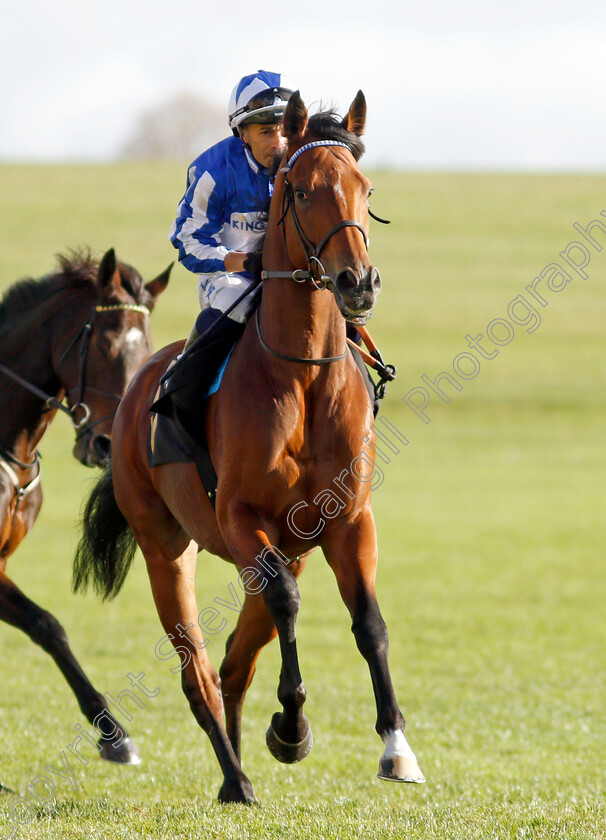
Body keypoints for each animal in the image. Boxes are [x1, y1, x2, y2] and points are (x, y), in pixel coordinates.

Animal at [1, 246, 171, 772]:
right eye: (105, 345)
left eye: (148, 348)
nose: (108, 443)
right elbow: (46, 625)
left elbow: (47, 626)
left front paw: (113, 733)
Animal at [76, 90, 426, 800]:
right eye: (301, 189)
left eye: (365, 188)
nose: (358, 282)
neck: (304, 376)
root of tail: (126, 402)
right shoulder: (241, 519)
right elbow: (287, 606)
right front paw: (293, 727)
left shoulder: (348, 520)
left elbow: (369, 623)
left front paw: (396, 748)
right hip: (167, 548)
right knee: (202, 669)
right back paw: (235, 776)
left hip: (283, 548)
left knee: (237, 660)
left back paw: (235, 768)